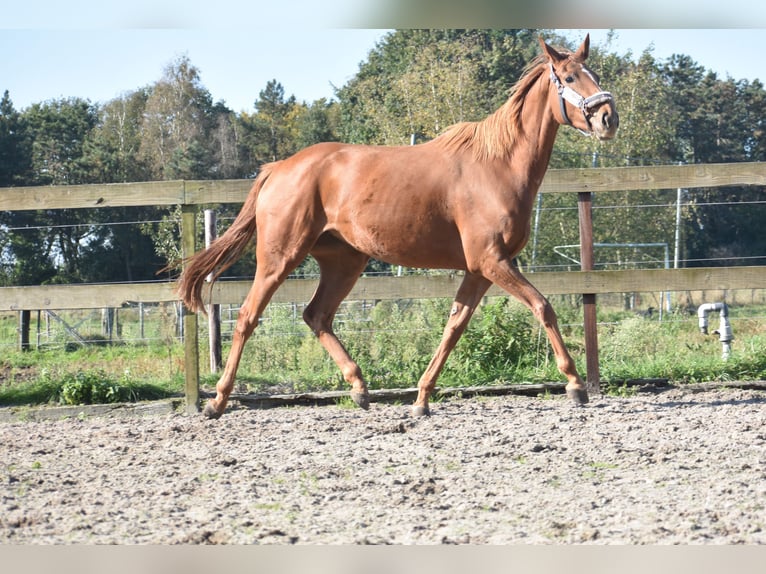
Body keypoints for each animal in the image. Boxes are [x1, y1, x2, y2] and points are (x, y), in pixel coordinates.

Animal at [178, 37, 616, 424]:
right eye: (570, 77)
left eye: (594, 73)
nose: (608, 117)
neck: (498, 165)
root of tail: (278, 168)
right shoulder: (492, 261)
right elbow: (543, 307)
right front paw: (575, 385)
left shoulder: (480, 269)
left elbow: (454, 326)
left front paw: (421, 399)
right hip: (279, 257)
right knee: (248, 316)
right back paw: (216, 402)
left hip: (344, 262)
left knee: (317, 315)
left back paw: (359, 388)